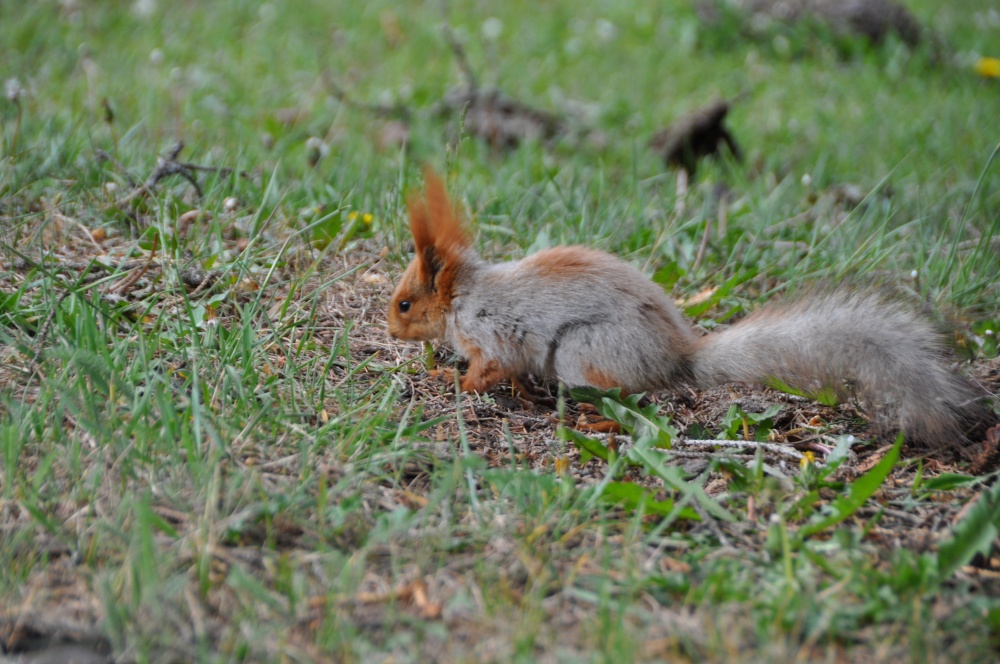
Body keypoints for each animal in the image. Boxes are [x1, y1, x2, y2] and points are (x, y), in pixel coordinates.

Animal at [388, 169, 992, 454]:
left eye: (405, 303)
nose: (389, 328)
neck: (464, 297)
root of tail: (676, 358)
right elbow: (510, 376)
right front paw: (511, 389)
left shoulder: (492, 332)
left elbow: (487, 368)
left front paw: (451, 381)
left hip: (584, 354)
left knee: (629, 400)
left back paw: (596, 419)